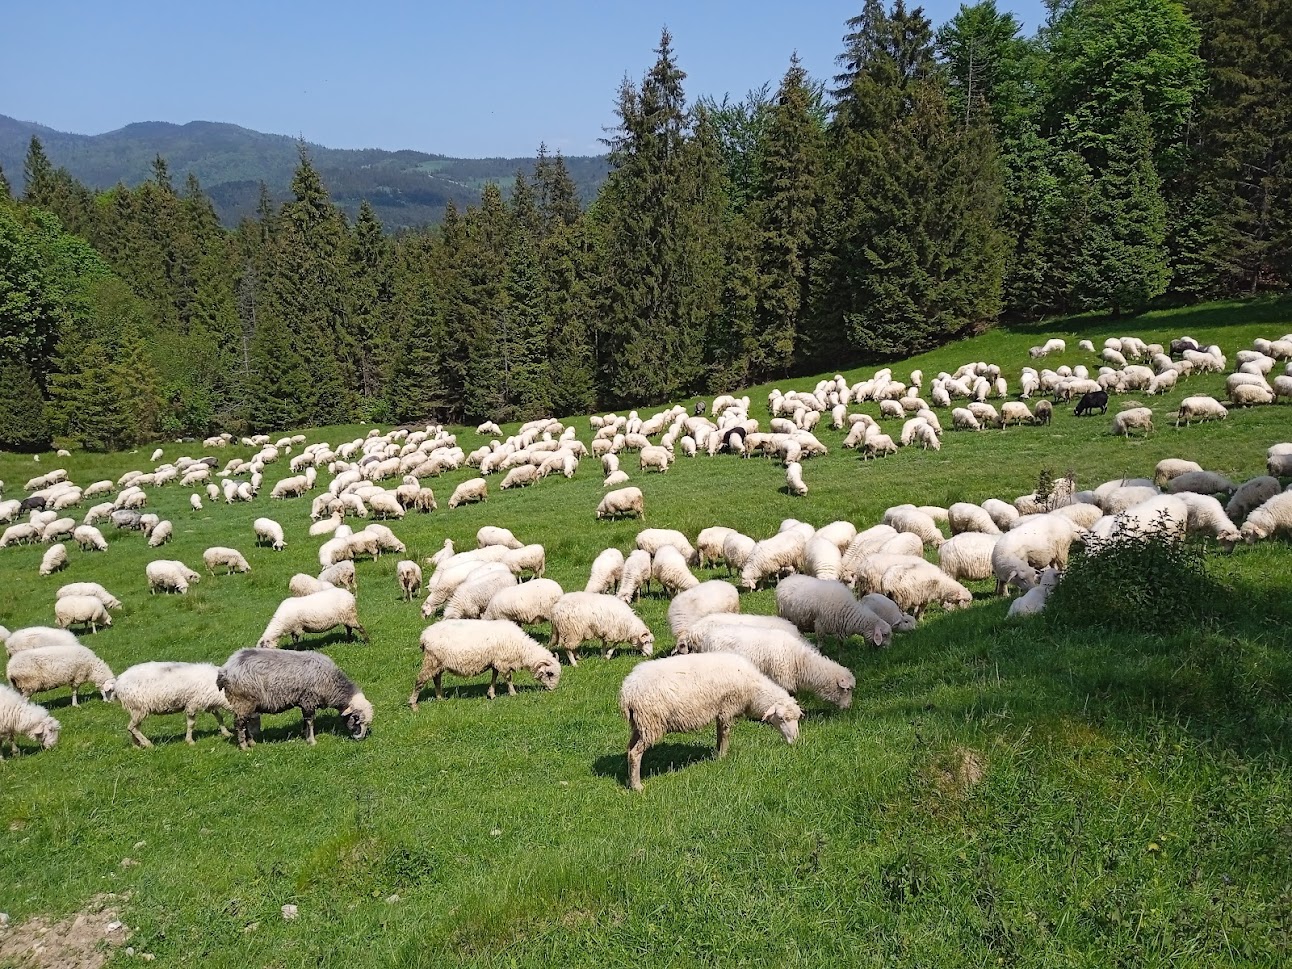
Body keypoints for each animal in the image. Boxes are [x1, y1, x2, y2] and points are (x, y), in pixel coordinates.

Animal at [217, 653, 374, 749]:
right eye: (356, 718)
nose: (359, 738)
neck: (332, 684)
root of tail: (226, 669)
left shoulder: (304, 701)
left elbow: (305, 720)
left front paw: (304, 734)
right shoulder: (309, 700)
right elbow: (310, 721)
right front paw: (312, 741)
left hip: (246, 704)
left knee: (245, 723)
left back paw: (251, 742)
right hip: (243, 701)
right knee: (239, 724)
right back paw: (244, 746)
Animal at [408, 617, 560, 708]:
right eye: (550, 674)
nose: (553, 690)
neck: (522, 649)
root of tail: (424, 635)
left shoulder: (495, 661)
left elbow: (494, 677)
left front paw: (491, 694)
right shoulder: (503, 661)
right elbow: (508, 678)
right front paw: (513, 693)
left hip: (438, 662)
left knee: (436, 680)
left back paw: (440, 698)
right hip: (432, 659)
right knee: (420, 680)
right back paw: (413, 703)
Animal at [614, 656, 795, 790]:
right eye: (781, 718)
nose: (794, 740)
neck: (753, 691)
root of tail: (627, 692)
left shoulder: (720, 710)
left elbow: (719, 734)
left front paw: (717, 754)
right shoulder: (727, 708)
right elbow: (725, 734)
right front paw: (722, 756)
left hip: (639, 724)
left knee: (630, 749)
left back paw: (630, 780)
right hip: (650, 722)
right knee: (635, 753)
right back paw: (637, 786)